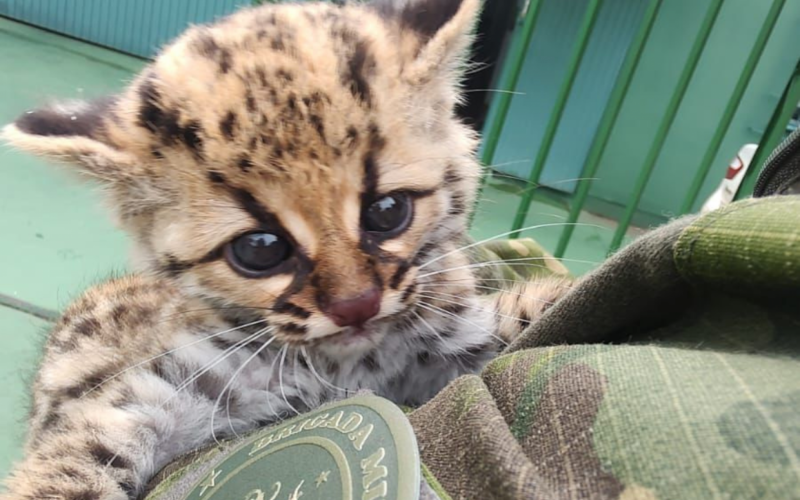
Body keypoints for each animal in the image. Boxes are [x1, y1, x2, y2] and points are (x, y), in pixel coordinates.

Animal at [0, 1, 568, 498]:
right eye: (260, 248)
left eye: (387, 210)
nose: (356, 306)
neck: (345, 366)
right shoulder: (148, 394)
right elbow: (72, 462)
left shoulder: (456, 329)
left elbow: (524, 314)